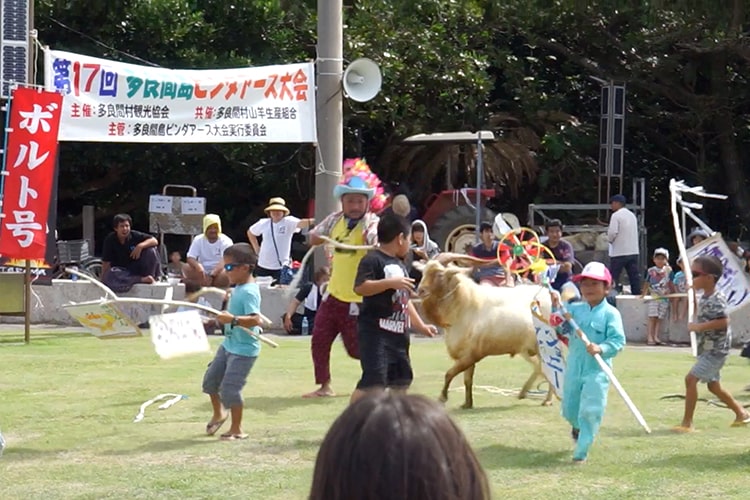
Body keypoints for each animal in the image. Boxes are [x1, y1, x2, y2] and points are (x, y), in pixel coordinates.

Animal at [420, 256, 556, 408]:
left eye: (439, 274)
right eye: (423, 271)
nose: (420, 290)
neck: (465, 305)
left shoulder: (471, 355)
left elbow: (449, 373)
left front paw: (442, 398)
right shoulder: (466, 356)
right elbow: (467, 380)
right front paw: (467, 404)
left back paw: (547, 400)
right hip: (528, 349)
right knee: (539, 367)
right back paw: (523, 392)